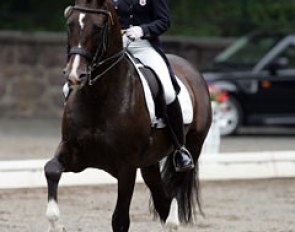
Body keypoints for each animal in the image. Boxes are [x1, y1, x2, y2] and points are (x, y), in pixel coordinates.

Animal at [44, 0, 213, 232]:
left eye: (98, 28)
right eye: (70, 24)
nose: (74, 76)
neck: (99, 97)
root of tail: (192, 71)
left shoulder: (126, 167)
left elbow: (120, 220)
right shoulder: (75, 152)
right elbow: (51, 169)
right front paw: (55, 222)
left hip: (193, 147)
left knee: (175, 190)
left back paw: (173, 220)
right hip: (149, 162)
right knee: (162, 200)